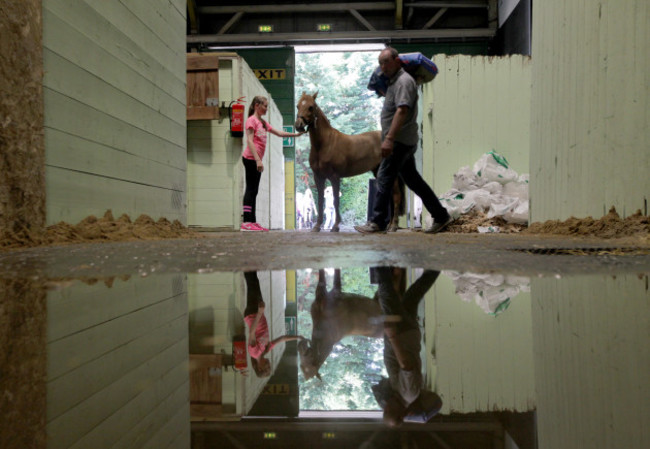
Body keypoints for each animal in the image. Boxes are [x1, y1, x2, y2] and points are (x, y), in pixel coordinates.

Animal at [294, 90, 404, 231]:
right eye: (297, 106)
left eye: (311, 107)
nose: (298, 125)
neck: (324, 144)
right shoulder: (318, 176)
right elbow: (320, 201)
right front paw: (317, 226)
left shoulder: (334, 176)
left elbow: (336, 200)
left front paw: (335, 226)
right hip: (379, 171)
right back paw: (389, 225)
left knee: (396, 196)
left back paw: (393, 226)